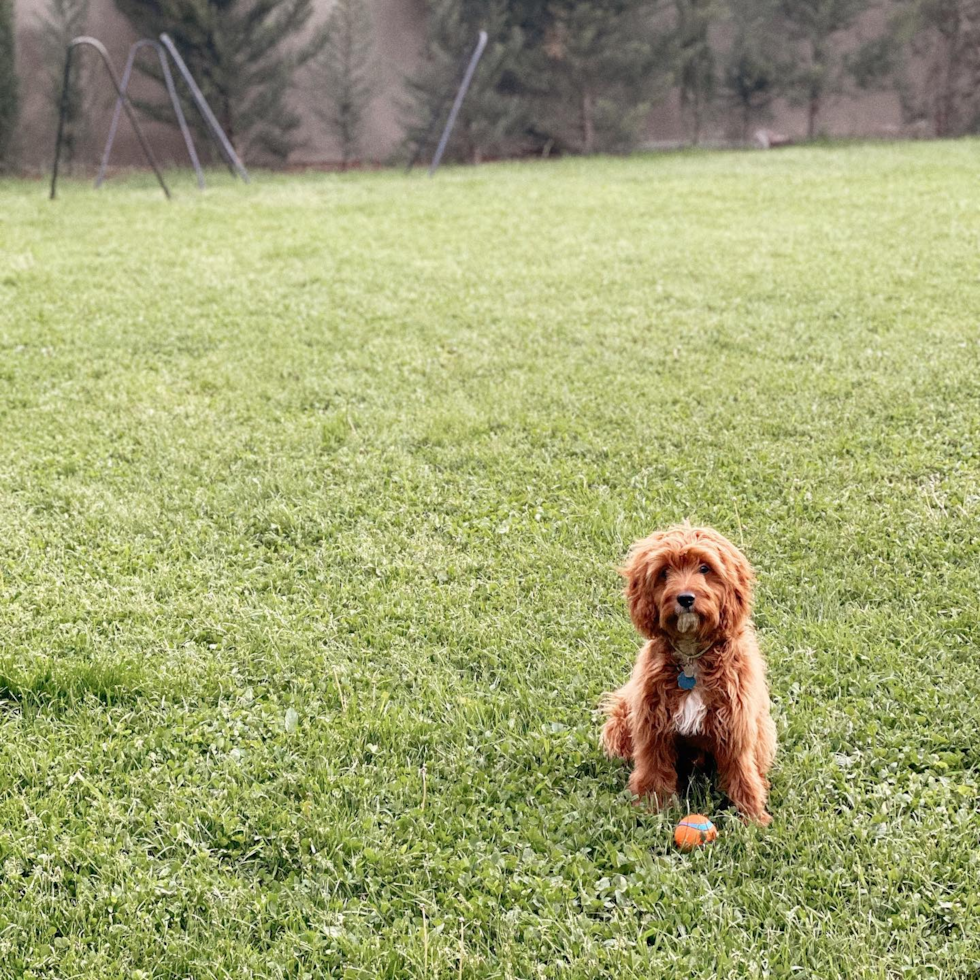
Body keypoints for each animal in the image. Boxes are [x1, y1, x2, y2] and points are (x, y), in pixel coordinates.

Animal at [600, 524, 776, 824]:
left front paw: (753, 817)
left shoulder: (736, 725)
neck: (692, 656)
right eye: (664, 572)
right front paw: (650, 810)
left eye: (705, 568)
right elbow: (653, 771)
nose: (685, 598)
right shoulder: (653, 726)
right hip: (622, 714)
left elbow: (742, 773)